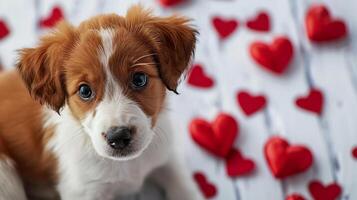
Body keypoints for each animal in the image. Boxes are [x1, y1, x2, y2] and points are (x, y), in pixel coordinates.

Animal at [0, 5, 203, 199]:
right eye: (84, 91)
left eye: (139, 79)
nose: (119, 137)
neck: (127, 164)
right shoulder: (83, 191)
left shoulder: (166, 155)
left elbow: (185, 188)